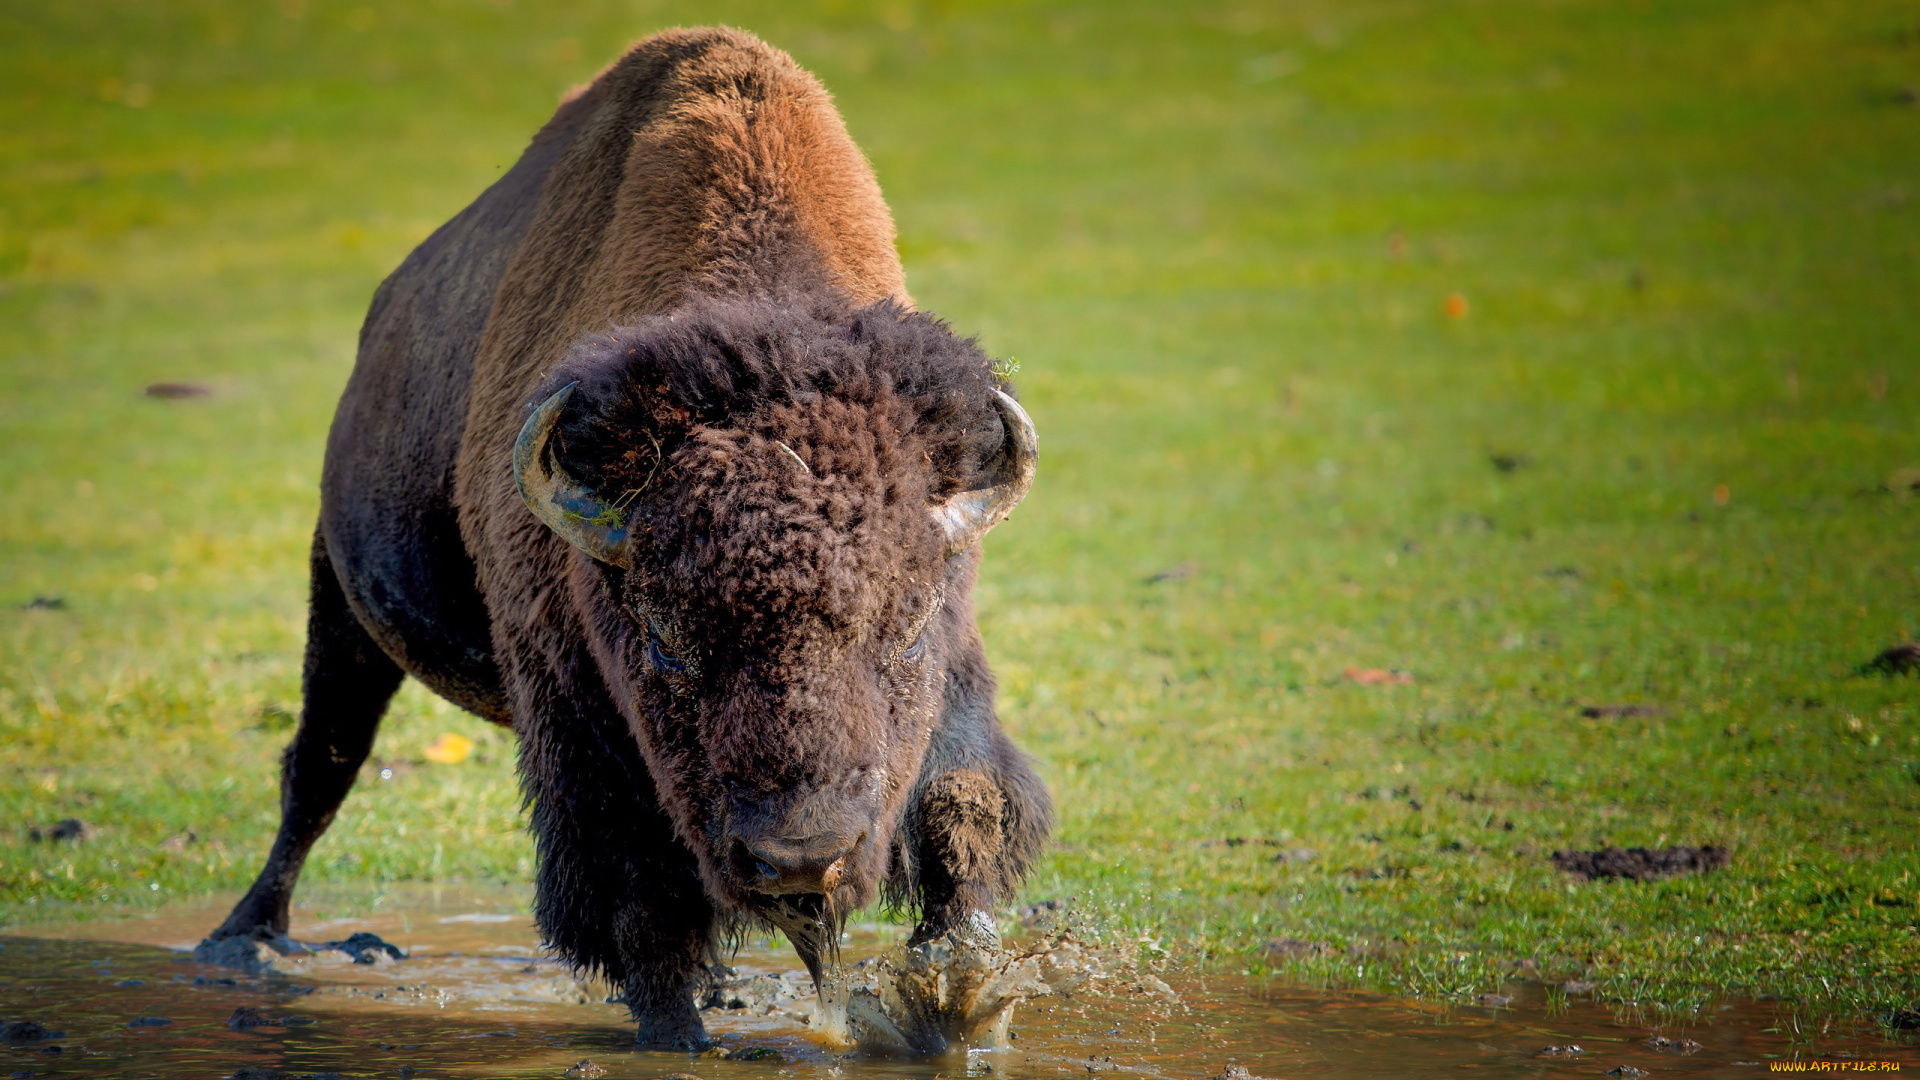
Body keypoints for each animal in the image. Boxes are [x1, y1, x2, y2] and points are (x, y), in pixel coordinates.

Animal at [200, 28, 1052, 1049]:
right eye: (664, 640)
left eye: (910, 625)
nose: (800, 859)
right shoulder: (573, 716)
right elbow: (637, 898)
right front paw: (678, 1036)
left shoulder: (955, 672)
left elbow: (966, 808)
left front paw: (961, 1003)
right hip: (342, 604)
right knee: (320, 765)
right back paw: (243, 938)